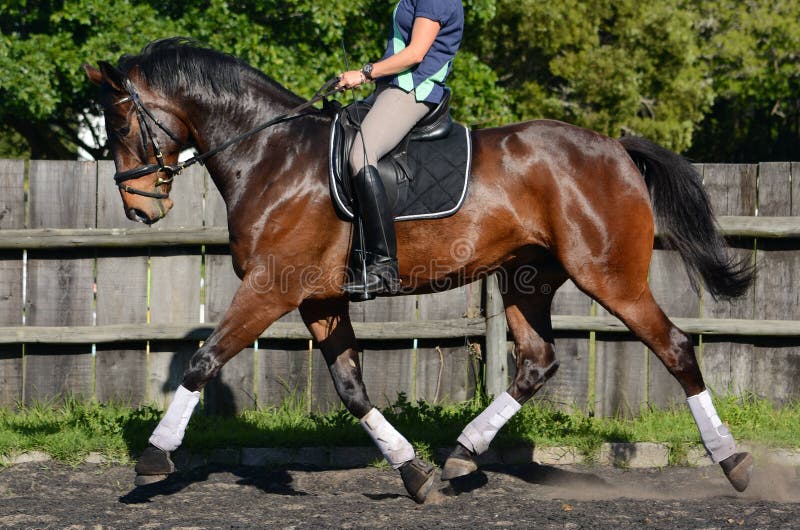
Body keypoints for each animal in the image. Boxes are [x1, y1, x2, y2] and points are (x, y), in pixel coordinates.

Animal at [84, 39, 752, 502]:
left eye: (118, 123)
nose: (139, 208)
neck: (269, 155)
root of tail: (616, 147)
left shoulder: (272, 287)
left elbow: (204, 359)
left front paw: (154, 458)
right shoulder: (319, 299)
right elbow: (351, 388)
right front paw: (413, 472)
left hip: (610, 277)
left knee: (675, 347)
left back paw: (734, 463)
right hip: (526, 279)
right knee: (536, 362)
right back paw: (462, 454)